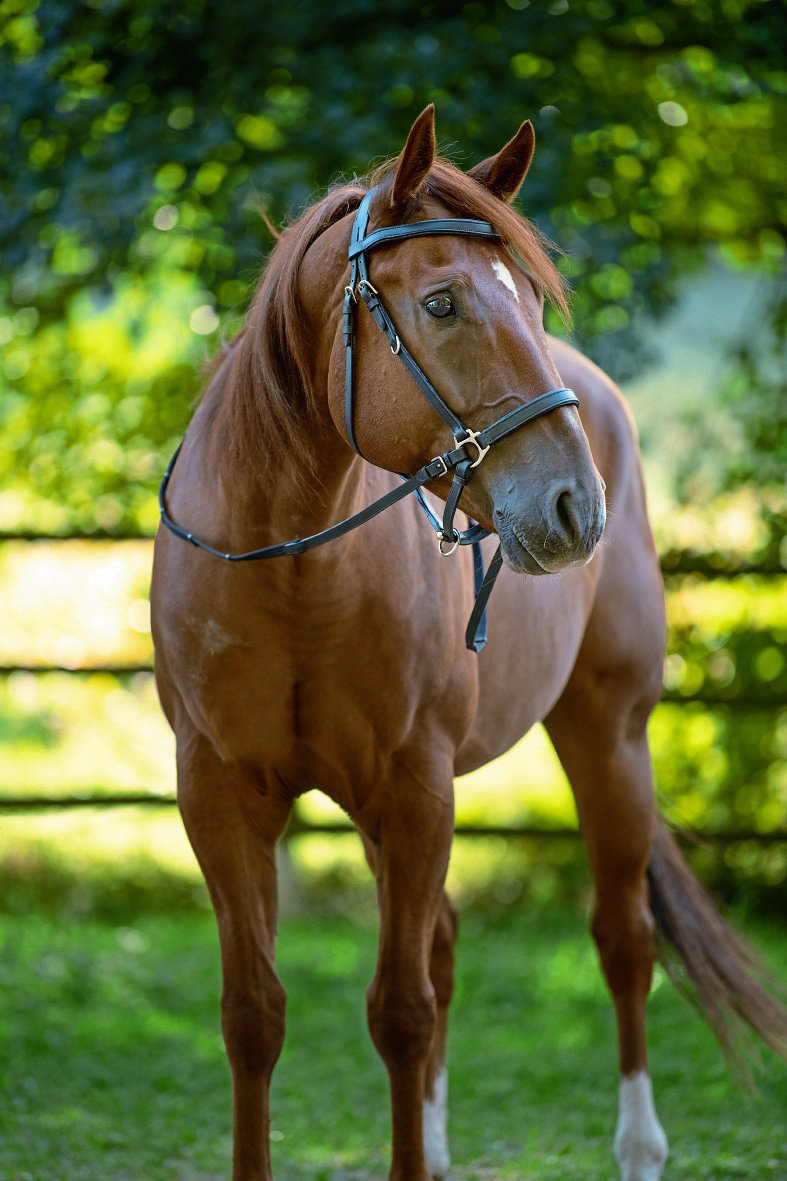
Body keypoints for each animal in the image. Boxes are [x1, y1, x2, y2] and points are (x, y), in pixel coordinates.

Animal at [150, 106, 779, 1176]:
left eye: (529, 300)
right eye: (440, 302)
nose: (575, 506)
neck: (287, 566)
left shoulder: (414, 789)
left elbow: (401, 1012)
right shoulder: (222, 797)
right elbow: (254, 1015)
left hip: (609, 738)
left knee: (622, 942)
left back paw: (638, 1145)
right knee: (443, 939)